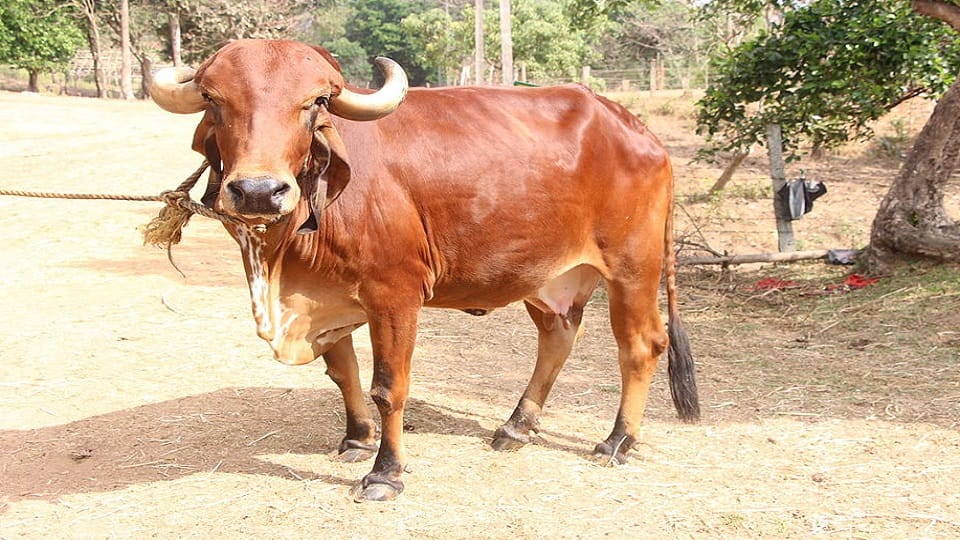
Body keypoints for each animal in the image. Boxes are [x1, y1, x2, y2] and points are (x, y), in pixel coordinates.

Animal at [148, 39, 700, 501]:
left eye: (315, 102)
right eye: (214, 99)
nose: (258, 192)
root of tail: (636, 128)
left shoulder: (394, 295)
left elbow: (388, 387)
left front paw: (385, 472)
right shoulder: (329, 299)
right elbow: (343, 372)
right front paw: (356, 439)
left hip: (633, 268)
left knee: (642, 345)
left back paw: (618, 441)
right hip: (548, 278)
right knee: (559, 337)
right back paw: (516, 426)